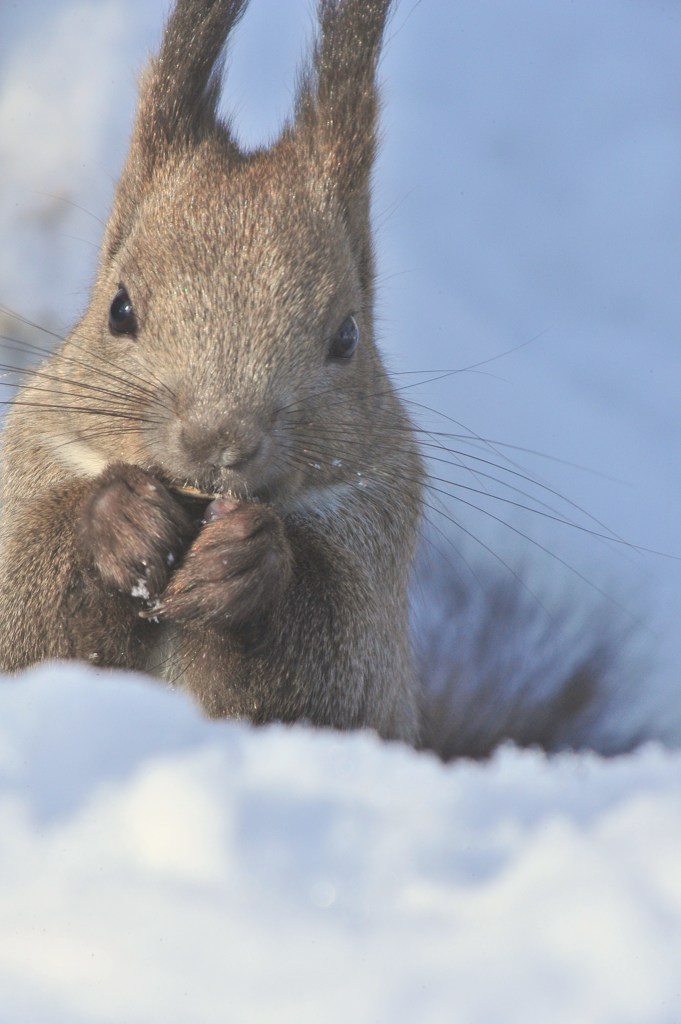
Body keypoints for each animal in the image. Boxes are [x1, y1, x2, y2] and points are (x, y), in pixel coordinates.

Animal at [0, 0, 643, 753]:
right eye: (119, 308)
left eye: (347, 336)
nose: (220, 439)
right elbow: (27, 621)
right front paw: (121, 519)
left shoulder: (376, 543)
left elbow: (332, 669)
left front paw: (247, 560)